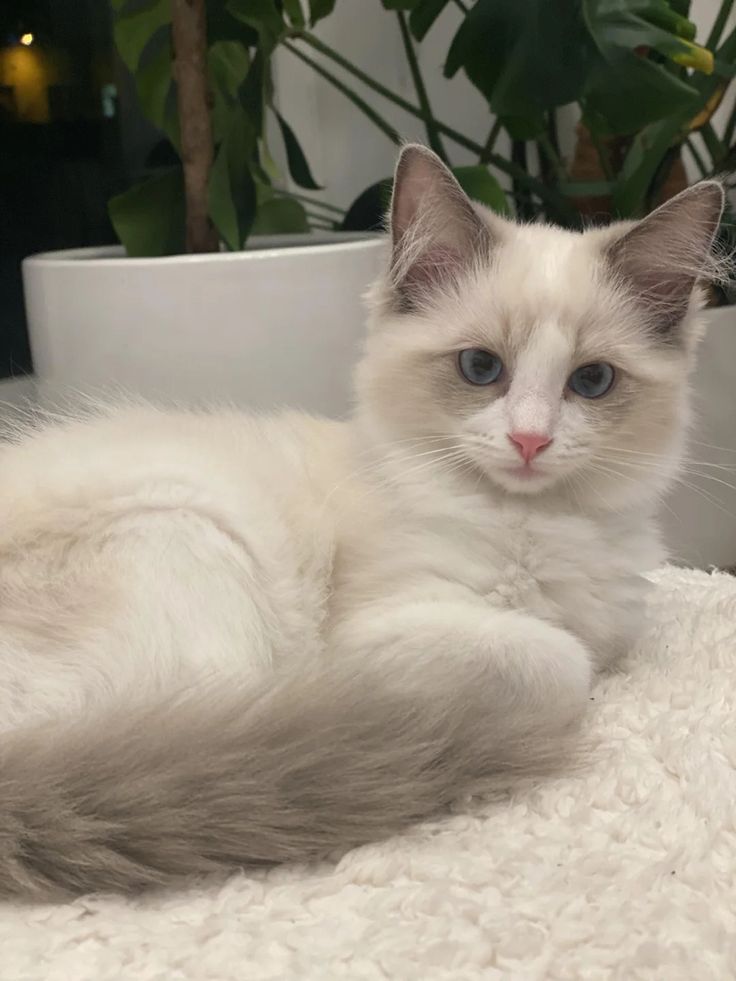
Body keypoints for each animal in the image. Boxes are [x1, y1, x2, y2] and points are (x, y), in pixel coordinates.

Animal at [0, 144, 724, 896]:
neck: (541, 525)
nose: (530, 441)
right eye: (480, 367)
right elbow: (565, 658)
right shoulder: (393, 627)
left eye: (591, 381)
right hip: (198, 540)